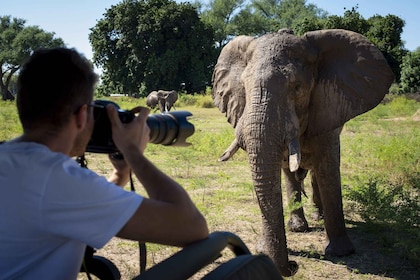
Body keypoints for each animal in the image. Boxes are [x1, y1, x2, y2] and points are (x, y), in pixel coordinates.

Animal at [212, 29, 396, 276]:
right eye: (244, 86)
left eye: (297, 87)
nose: (293, 266)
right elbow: (284, 169)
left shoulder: (328, 111)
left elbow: (328, 169)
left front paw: (342, 253)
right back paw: (299, 227)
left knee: (318, 173)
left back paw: (319, 216)